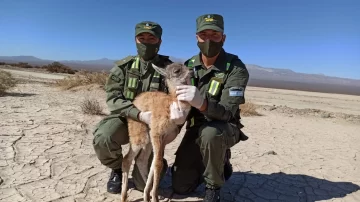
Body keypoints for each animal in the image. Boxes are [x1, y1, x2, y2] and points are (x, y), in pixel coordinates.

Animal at [121, 63, 193, 202]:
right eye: (177, 71)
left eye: (185, 66)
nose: (192, 71)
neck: (171, 104)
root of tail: (136, 99)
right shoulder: (156, 133)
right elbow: (158, 164)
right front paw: (154, 197)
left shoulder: (164, 139)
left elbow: (155, 163)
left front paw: (151, 195)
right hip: (139, 132)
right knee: (127, 159)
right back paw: (124, 196)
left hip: (148, 139)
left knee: (142, 160)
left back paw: (146, 193)